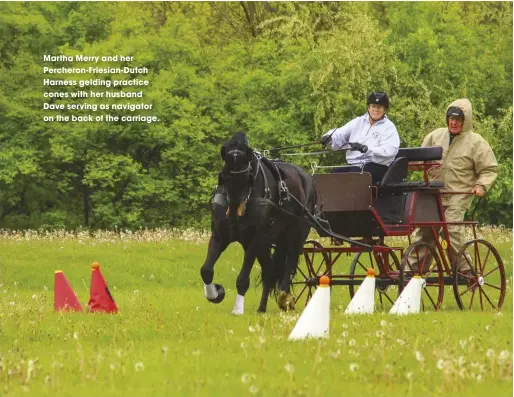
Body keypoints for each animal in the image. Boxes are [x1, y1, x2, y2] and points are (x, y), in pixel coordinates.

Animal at [199, 132, 316, 312]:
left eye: (248, 179)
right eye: (224, 177)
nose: (234, 213)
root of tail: (306, 177)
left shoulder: (254, 239)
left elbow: (242, 279)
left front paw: (237, 309)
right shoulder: (220, 236)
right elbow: (206, 270)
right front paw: (215, 294)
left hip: (296, 233)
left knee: (290, 262)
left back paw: (284, 297)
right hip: (269, 241)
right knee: (270, 270)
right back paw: (262, 308)